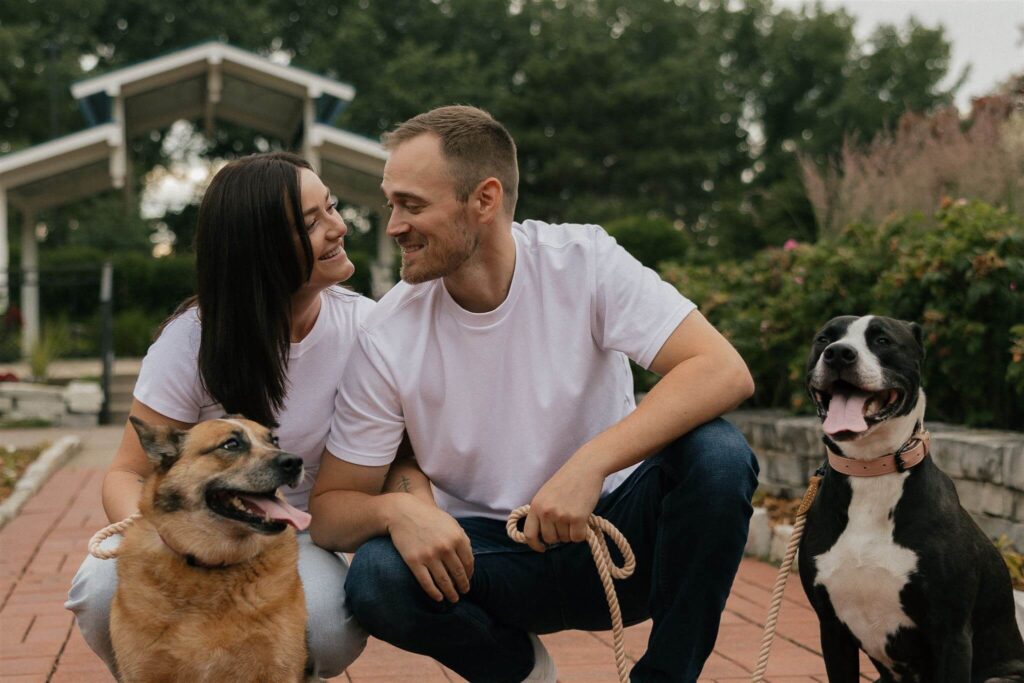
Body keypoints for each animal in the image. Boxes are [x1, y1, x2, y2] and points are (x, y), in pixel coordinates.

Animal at [798, 317, 1024, 683]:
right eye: (824, 339)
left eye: (882, 340)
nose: (839, 354)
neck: (871, 473)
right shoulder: (831, 630)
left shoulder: (952, 634)